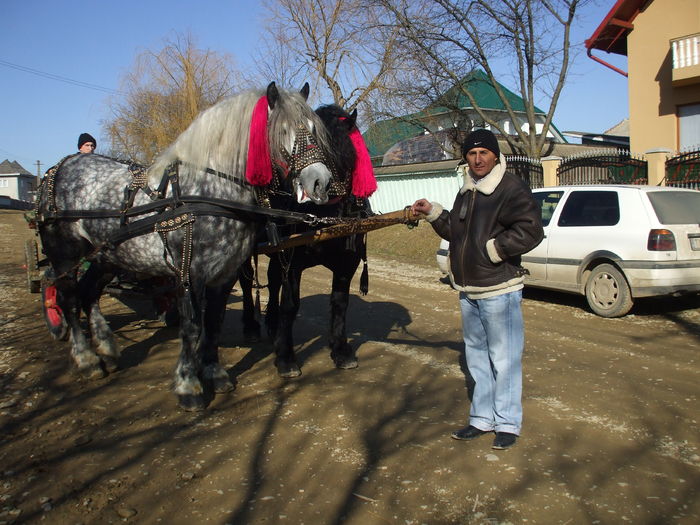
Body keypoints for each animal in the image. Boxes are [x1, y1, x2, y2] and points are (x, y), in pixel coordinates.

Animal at [243, 103, 380, 376]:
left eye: (347, 151)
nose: (320, 187)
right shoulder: (293, 264)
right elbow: (290, 305)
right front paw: (286, 357)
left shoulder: (346, 265)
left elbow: (339, 303)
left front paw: (340, 350)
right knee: (245, 283)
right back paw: (251, 326)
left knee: (273, 281)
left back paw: (271, 323)